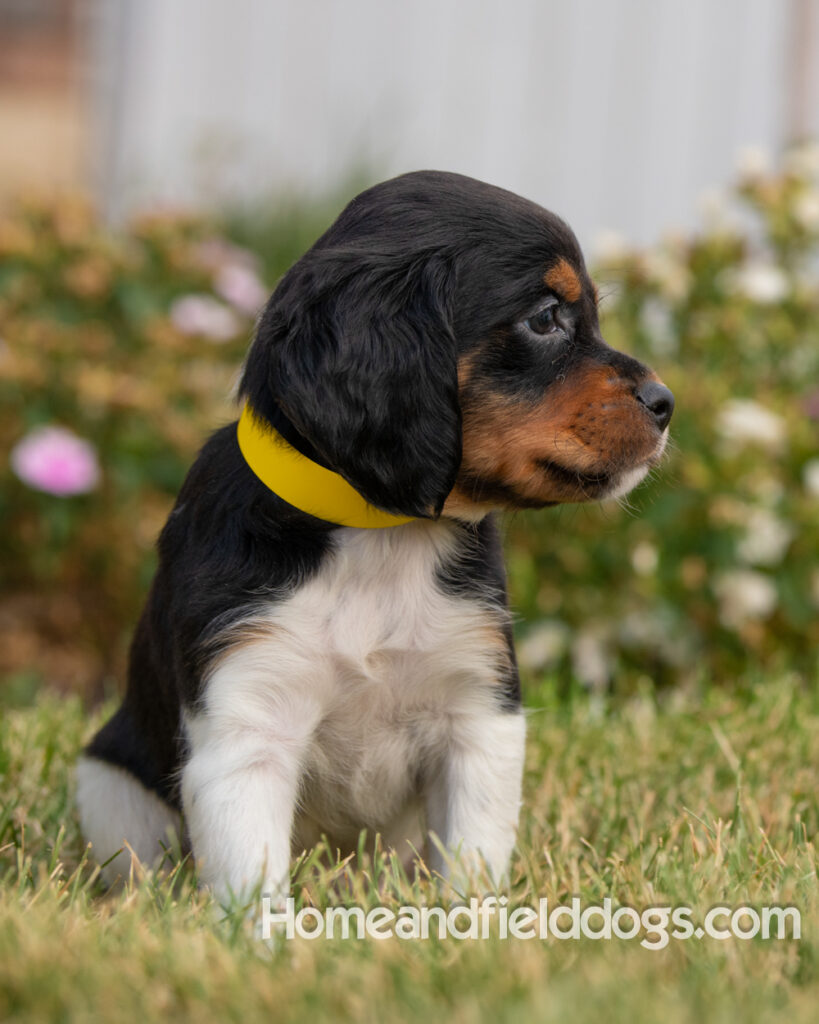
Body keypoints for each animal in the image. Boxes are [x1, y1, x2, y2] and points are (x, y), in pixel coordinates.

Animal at [76, 169, 675, 905]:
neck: (381, 536)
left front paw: (470, 922)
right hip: (108, 786)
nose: (666, 403)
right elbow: (252, 878)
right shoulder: (247, 719)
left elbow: (472, 860)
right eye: (544, 318)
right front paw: (262, 934)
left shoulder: (479, 715)